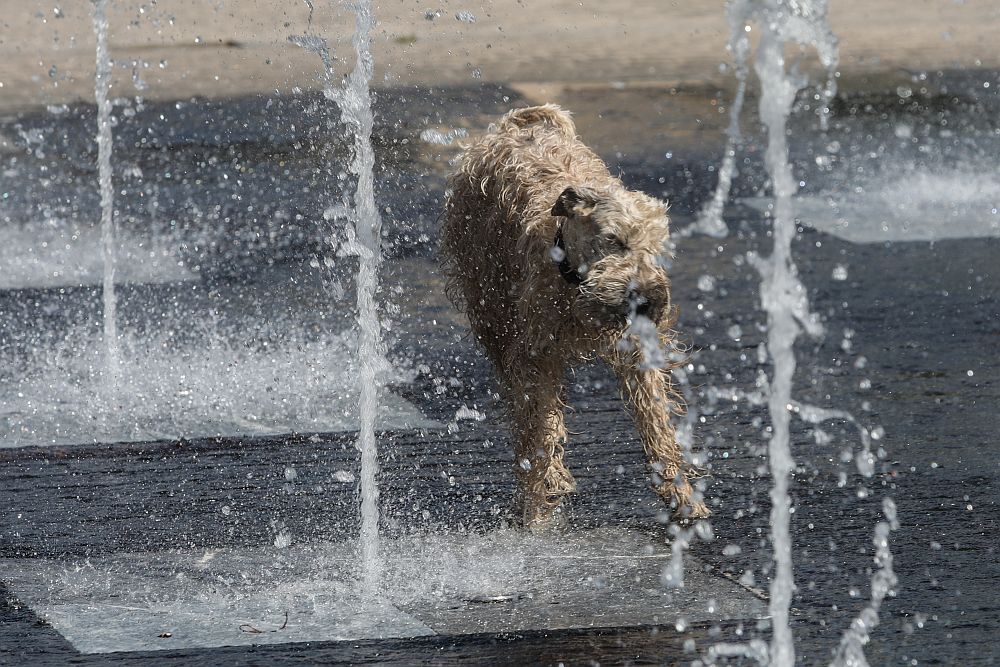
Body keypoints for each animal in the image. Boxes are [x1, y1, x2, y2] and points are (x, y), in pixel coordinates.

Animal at [440, 104, 712, 528]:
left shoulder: (638, 351)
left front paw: (682, 497)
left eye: (658, 248)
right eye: (615, 240)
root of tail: (509, 128)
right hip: (492, 316)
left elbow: (657, 425)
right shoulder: (534, 356)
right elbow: (537, 429)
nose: (648, 301)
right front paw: (534, 508)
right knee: (524, 409)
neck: (571, 276)